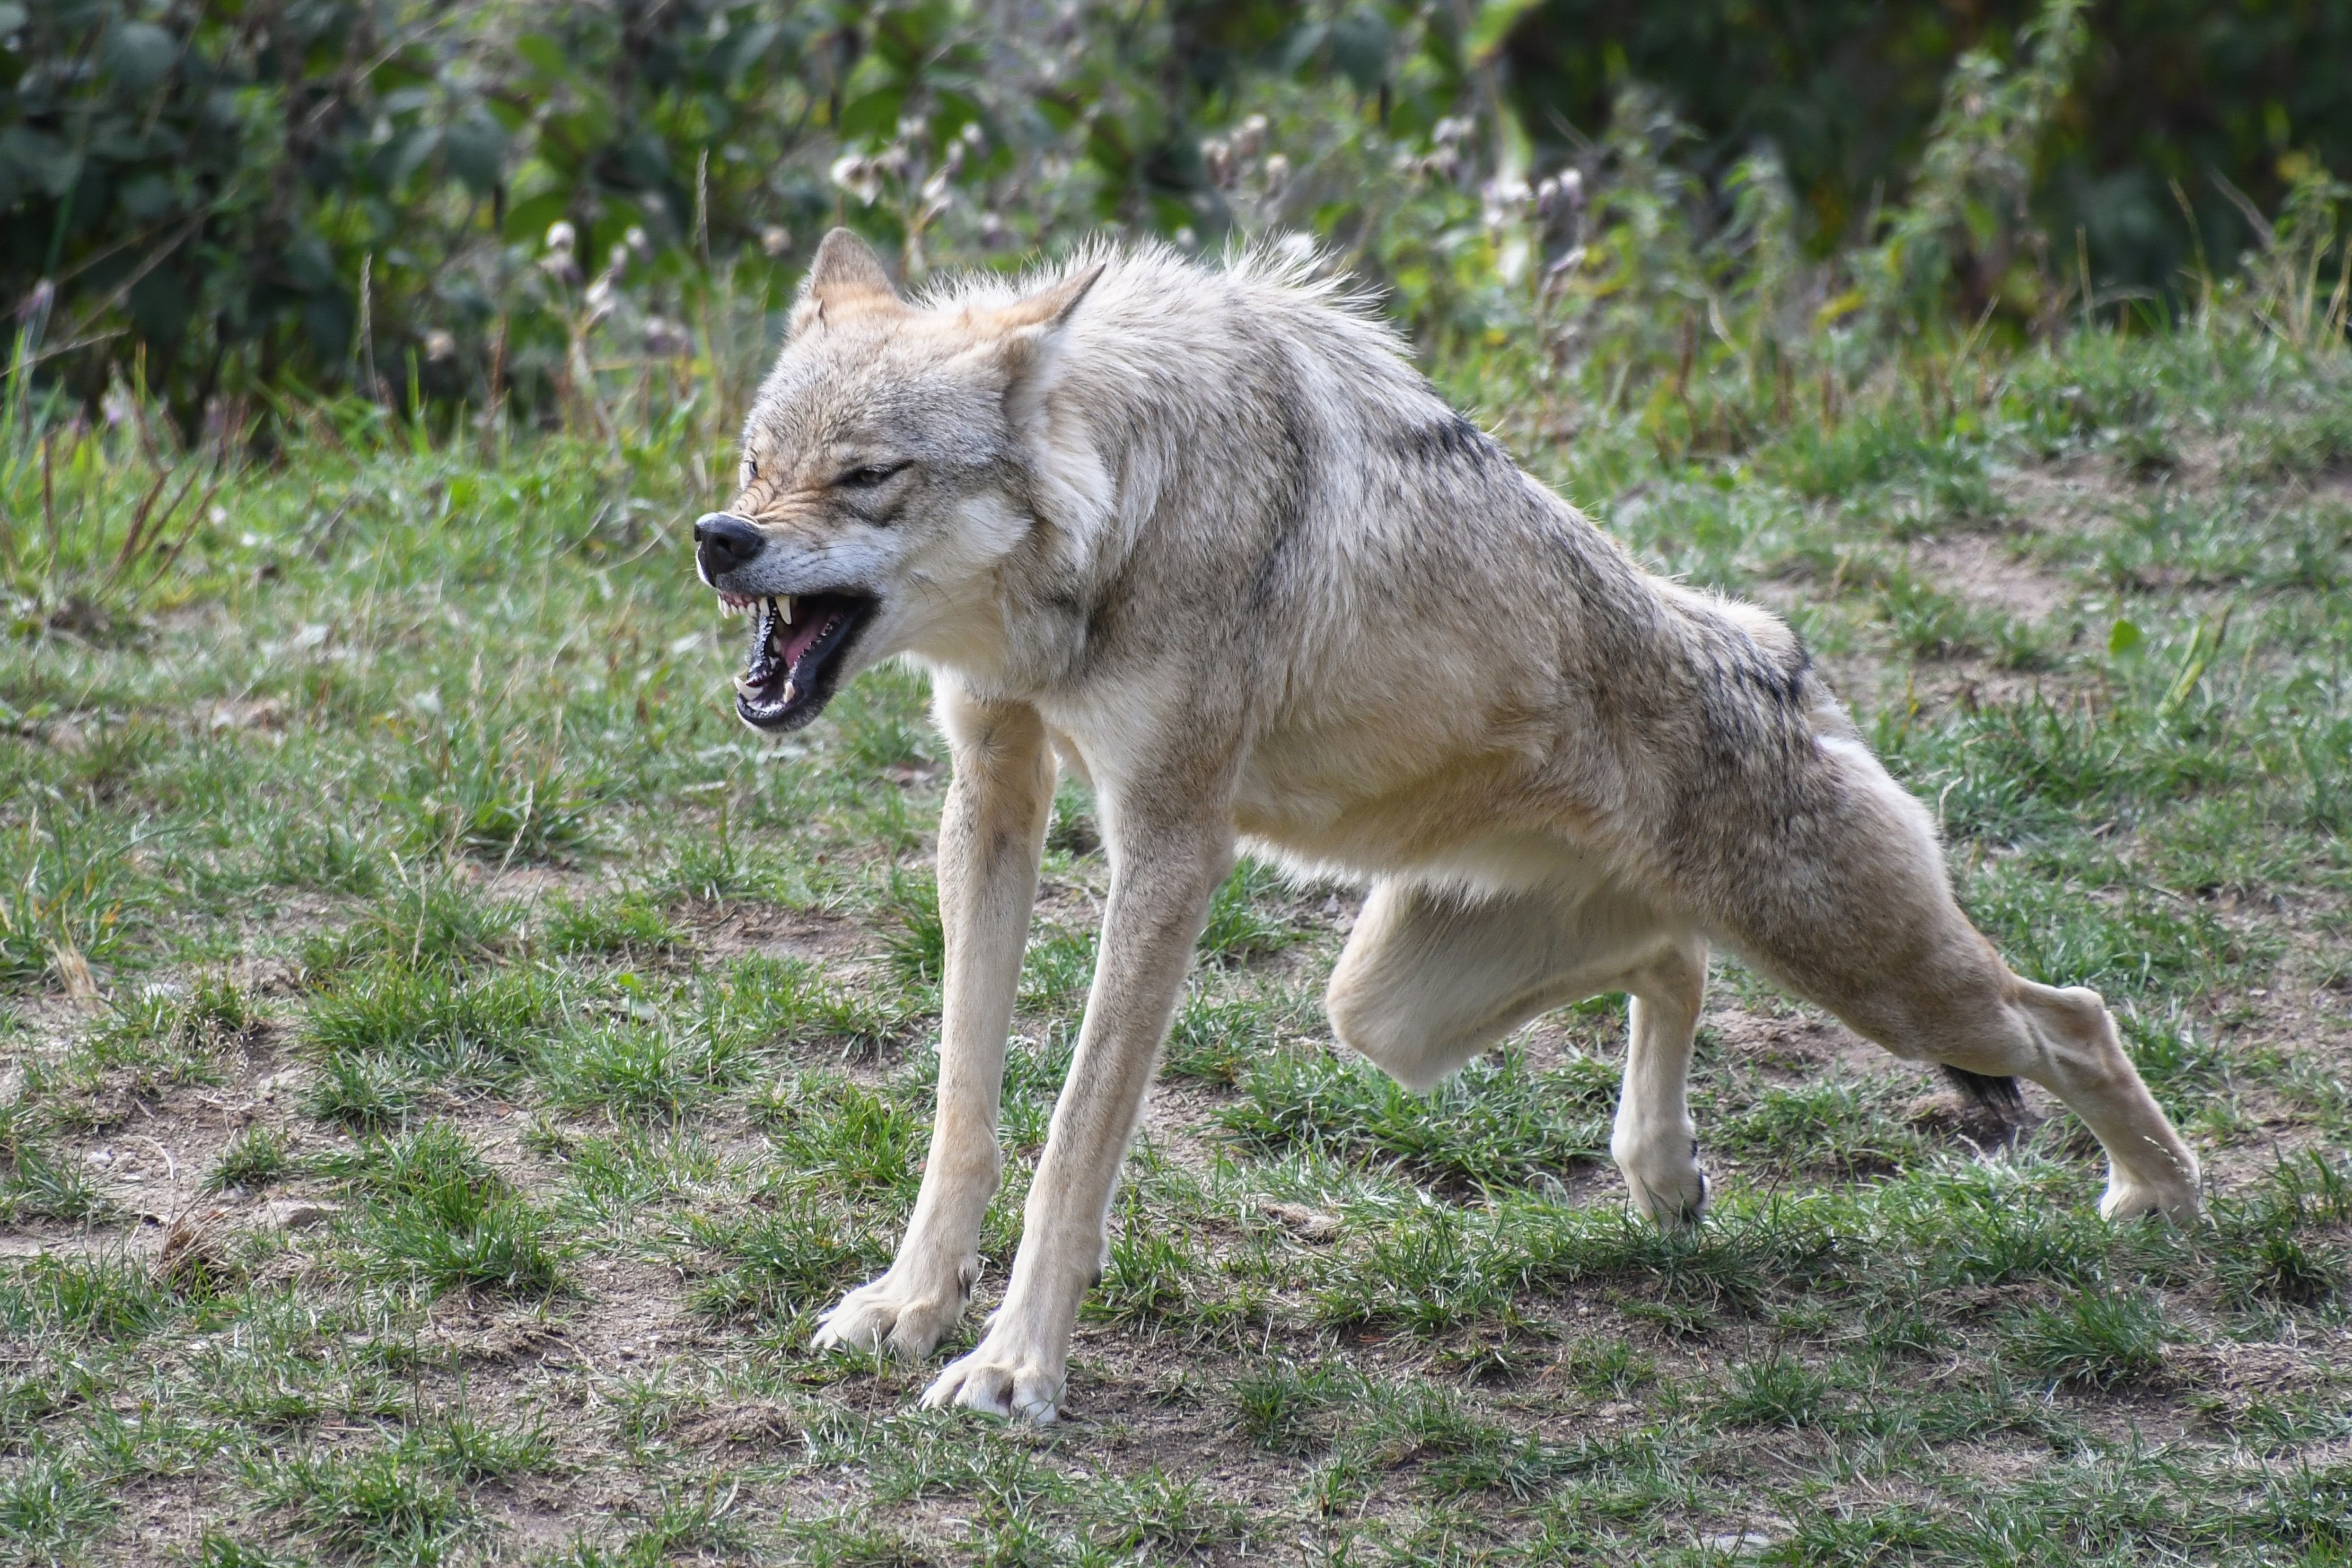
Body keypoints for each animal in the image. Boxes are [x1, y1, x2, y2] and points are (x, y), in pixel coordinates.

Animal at [686, 230, 2192, 1419]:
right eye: (756, 463)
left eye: (867, 475)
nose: (718, 538)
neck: (1123, 510)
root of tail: (1781, 656)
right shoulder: (991, 793)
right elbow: (965, 1104)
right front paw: (909, 1304)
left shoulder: (1170, 844)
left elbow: (1071, 1137)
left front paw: (1012, 1367)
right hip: (1388, 1012)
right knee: (1672, 959)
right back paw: (1663, 1178)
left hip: (1880, 981)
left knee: (2073, 1015)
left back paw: (2161, 1204)